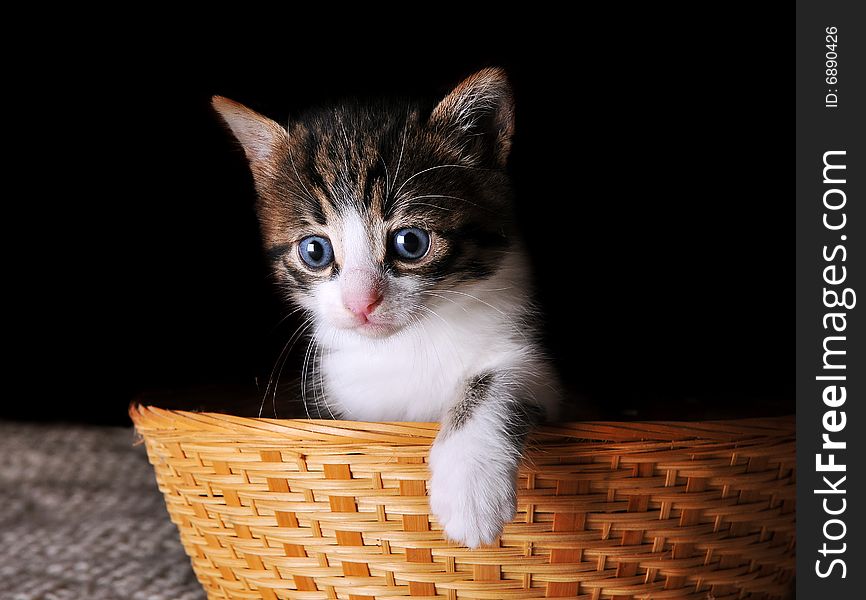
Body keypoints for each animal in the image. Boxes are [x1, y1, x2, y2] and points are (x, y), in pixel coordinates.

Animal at [213, 67, 556, 548]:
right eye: (315, 251)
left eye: (410, 243)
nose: (361, 303)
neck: (404, 345)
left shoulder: (544, 374)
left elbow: (498, 375)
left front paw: (469, 484)